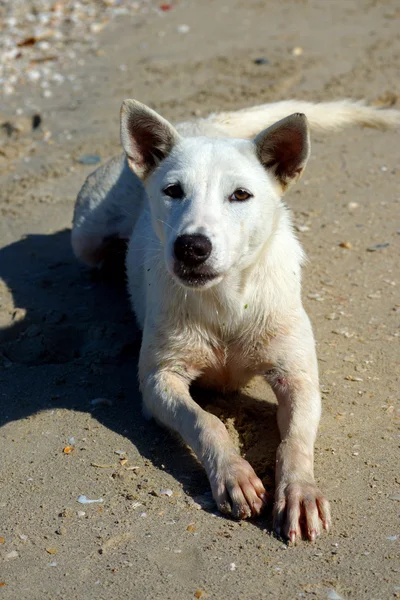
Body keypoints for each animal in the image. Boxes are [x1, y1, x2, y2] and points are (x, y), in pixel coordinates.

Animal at [72, 99, 400, 544]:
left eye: (240, 195)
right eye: (172, 191)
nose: (191, 247)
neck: (226, 300)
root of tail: (201, 122)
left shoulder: (299, 378)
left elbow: (295, 441)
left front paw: (300, 491)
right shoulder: (158, 381)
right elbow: (204, 421)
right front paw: (233, 475)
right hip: (85, 235)